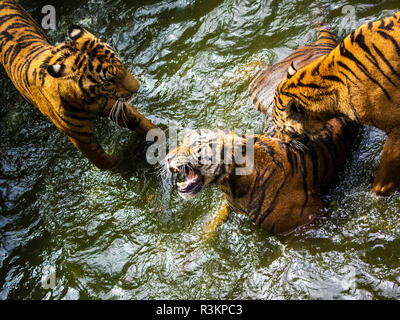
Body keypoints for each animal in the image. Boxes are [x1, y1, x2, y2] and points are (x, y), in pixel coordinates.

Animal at [0, 0, 157, 170]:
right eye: (108, 81)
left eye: (120, 63)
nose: (138, 88)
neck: (89, 99)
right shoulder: (81, 139)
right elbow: (105, 162)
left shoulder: (116, 106)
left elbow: (145, 125)